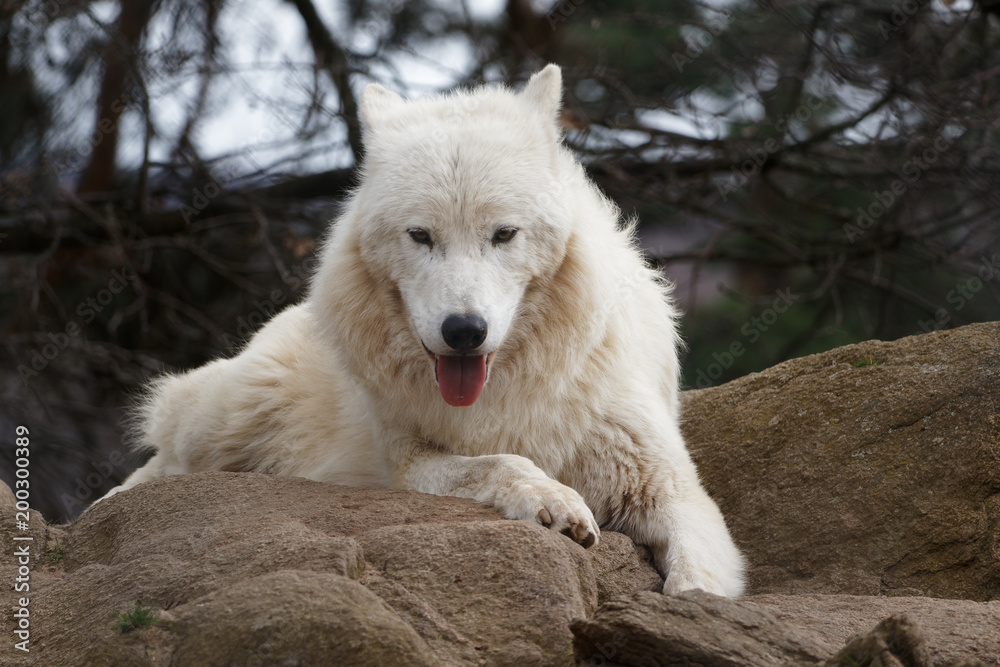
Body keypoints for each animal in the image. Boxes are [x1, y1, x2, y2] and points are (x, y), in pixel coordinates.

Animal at [101, 65, 746, 597]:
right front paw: (555, 501)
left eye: (503, 234)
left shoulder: (670, 488)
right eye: (420, 235)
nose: (463, 331)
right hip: (228, 416)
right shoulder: (410, 462)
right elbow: (503, 462)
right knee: (163, 451)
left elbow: (697, 582)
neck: (507, 393)